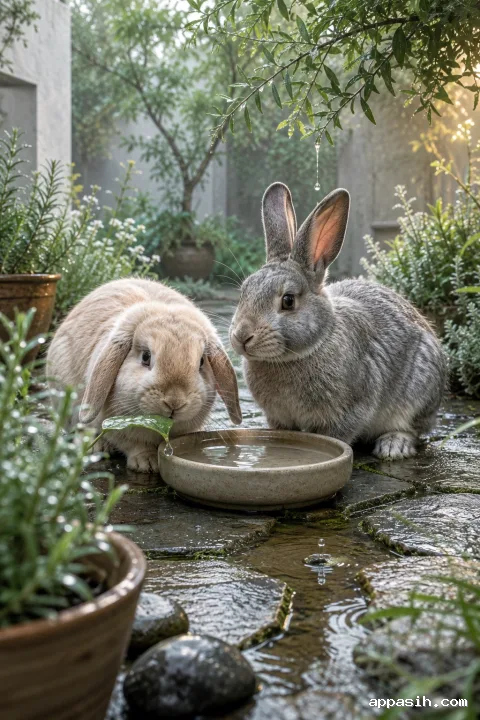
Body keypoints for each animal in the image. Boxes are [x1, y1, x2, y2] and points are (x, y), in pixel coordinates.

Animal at [47, 278, 242, 472]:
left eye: (201, 362)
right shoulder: (117, 427)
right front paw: (147, 463)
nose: (175, 402)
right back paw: (97, 447)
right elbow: (135, 445)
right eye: (146, 357)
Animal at [229, 183, 447, 460]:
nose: (242, 337)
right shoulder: (279, 418)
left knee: (413, 429)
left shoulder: (350, 410)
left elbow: (335, 436)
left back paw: (393, 447)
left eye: (288, 301)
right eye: (243, 292)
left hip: (419, 391)